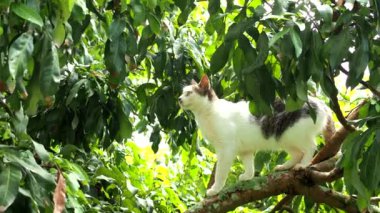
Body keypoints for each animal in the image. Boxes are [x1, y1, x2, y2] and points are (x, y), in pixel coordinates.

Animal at [180, 74, 334, 196]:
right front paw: (248, 176)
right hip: (283, 137)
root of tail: (320, 102)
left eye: (189, 93)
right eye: (182, 93)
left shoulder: (225, 149)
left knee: (310, 147)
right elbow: (249, 166)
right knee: (297, 153)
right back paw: (284, 166)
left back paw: (302, 165)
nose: (179, 99)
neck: (207, 114)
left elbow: (220, 172)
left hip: (294, 134)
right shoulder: (245, 150)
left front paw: (215, 189)